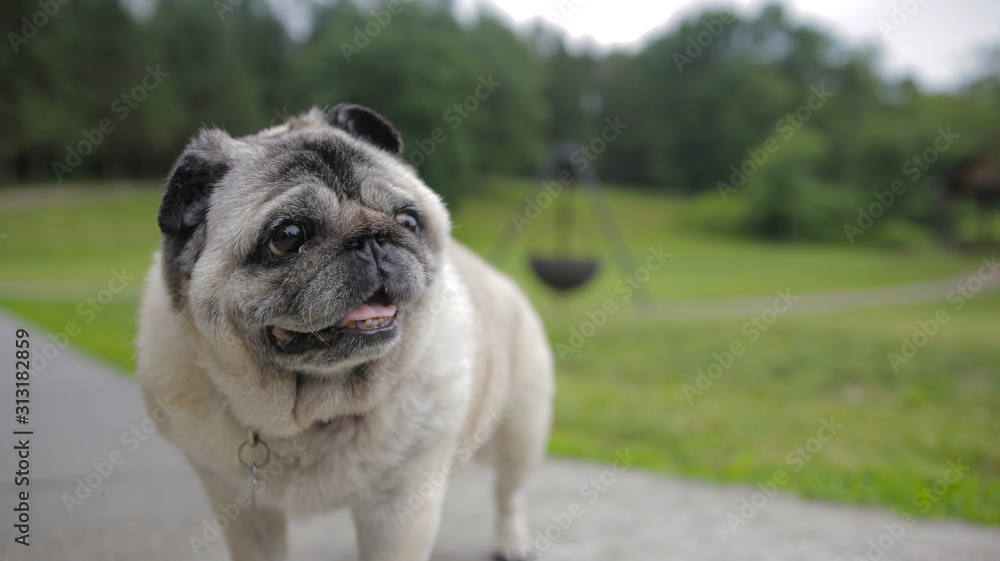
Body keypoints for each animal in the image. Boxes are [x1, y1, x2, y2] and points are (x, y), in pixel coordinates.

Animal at [135, 101, 556, 560]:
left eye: (409, 221)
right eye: (287, 236)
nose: (371, 240)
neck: (314, 415)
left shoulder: (399, 508)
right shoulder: (240, 507)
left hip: (522, 431)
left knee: (508, 492)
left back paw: (511, 541)